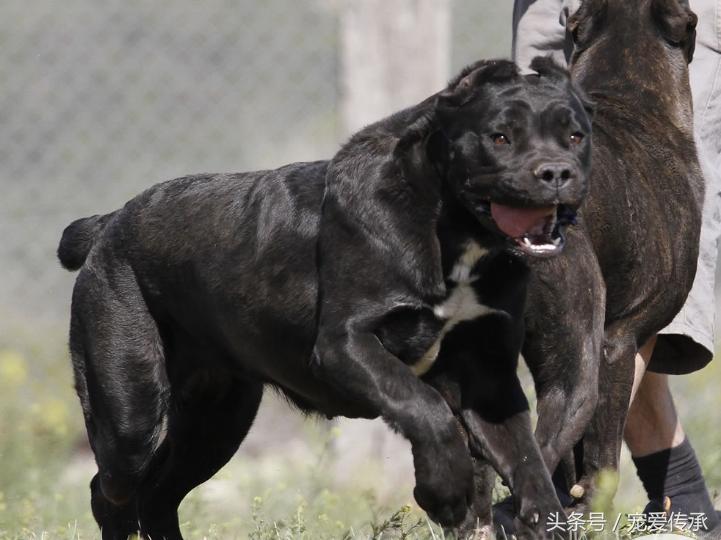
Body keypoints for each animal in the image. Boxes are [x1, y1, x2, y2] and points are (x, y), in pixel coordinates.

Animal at [57, 59, 592, 540]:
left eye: (575, 137)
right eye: (500, 137)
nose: (558, 172)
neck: (450, 230)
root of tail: (109, 223)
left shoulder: (488, 375)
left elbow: (527, 461)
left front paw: (540, 521)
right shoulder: (346, 344)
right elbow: (424, 408)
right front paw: (445, 494)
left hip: (218, 419)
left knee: (158, 496)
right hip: (132, 413)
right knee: (110, 491)